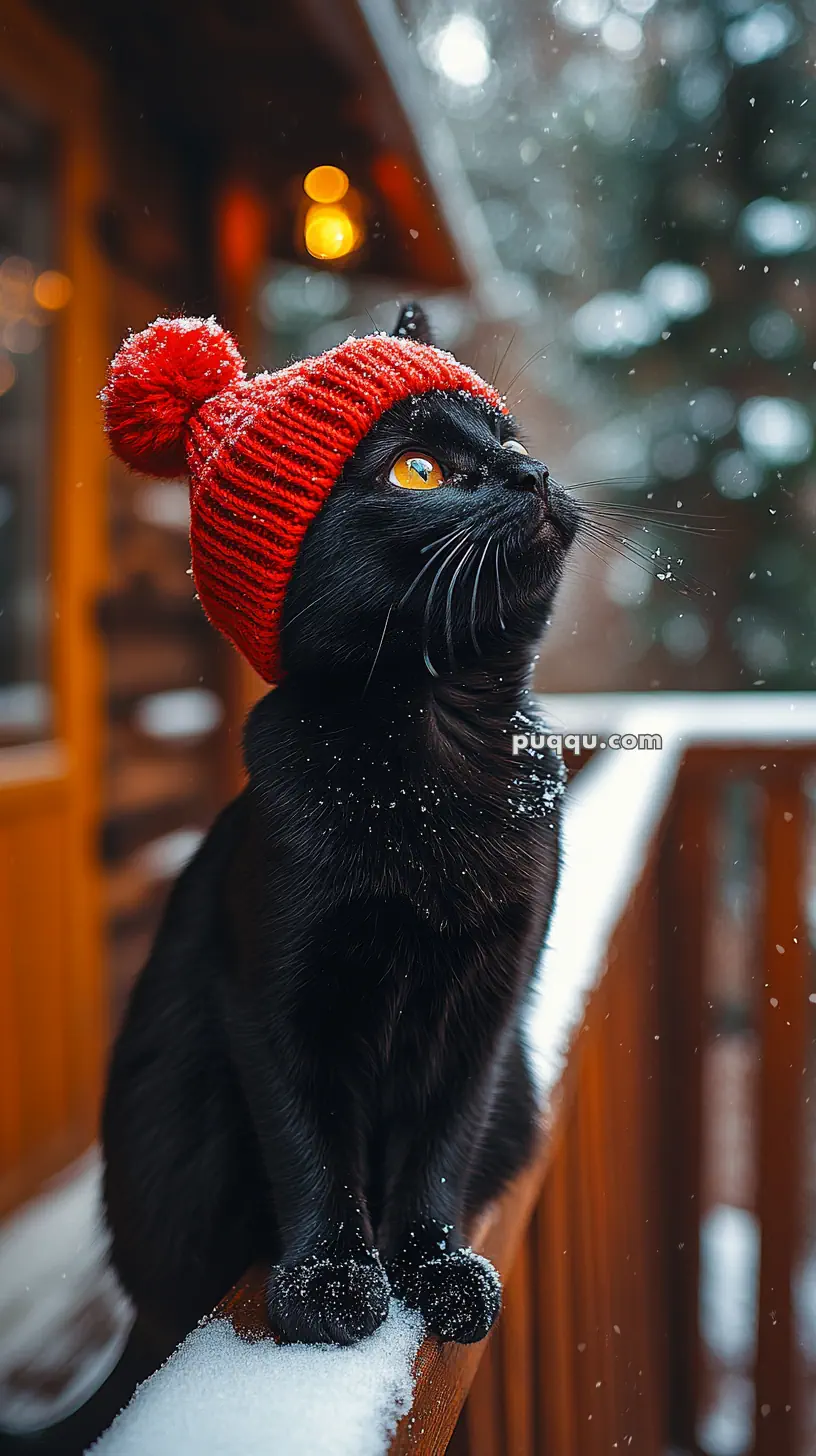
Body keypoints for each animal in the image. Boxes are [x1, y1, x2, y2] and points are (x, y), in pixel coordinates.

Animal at [102, 307, 577, 1351]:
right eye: (418, 471)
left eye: (509, 435)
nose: (531, 472)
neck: (440, 743)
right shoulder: (273, 994)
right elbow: (312, 1144)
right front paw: (329, 1283)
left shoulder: (488, 1004)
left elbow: (442, 1143)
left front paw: (438, 1269)